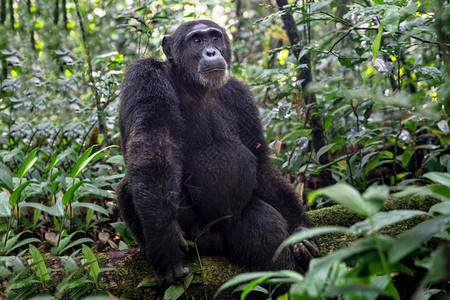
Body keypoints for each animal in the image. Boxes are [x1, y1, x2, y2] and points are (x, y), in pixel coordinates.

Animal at [118, 19, 318, 286]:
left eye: (214, 38)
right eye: (196, 41)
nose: (211, 52)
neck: (193, 86)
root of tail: (213, 244)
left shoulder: (241, 95)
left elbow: (261, 164)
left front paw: (302, 232)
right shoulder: (145, 76)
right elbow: (154, 144)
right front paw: (164, 242)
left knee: (267, 232)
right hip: (193, 236)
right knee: (135, 182)